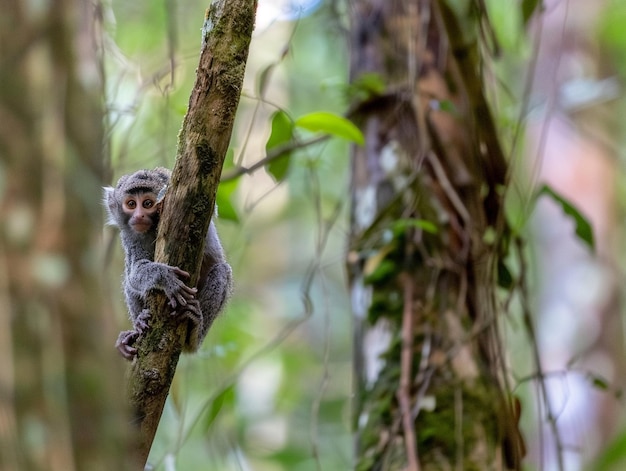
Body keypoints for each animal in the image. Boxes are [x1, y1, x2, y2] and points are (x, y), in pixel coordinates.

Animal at [103, 167, 233, 362]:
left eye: (147, 203)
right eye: (131, 204)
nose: (139, 216)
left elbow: (212, 210)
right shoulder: (129, 235)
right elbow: (134, 274)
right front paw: (165, 277)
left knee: (221, 271)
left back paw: (194, 333)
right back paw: (137, 326)